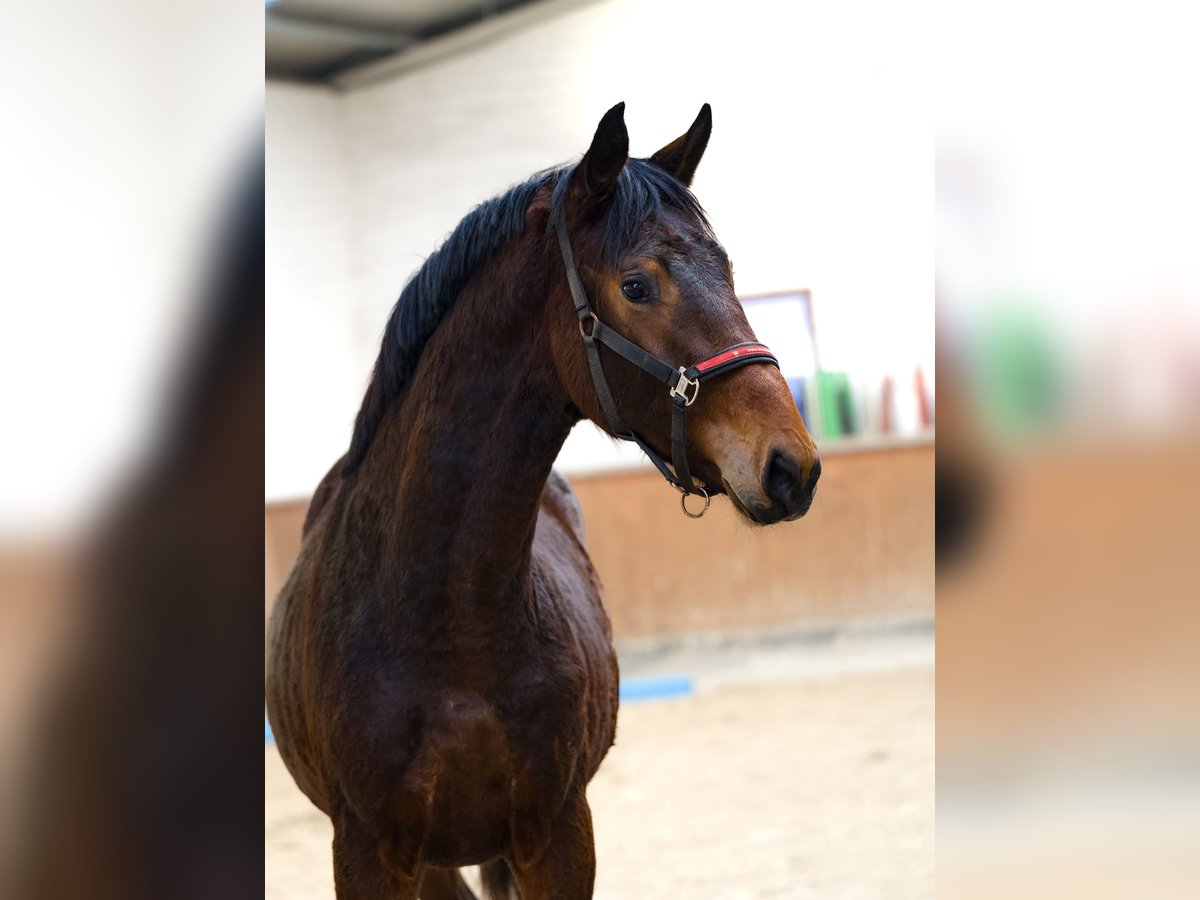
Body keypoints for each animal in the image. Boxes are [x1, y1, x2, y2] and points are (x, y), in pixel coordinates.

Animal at [267, 103, 820, 900]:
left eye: (727, 271)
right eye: (637, 285)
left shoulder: (559, 833)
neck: (449, 626)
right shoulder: (373, 853)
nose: (790, 466)